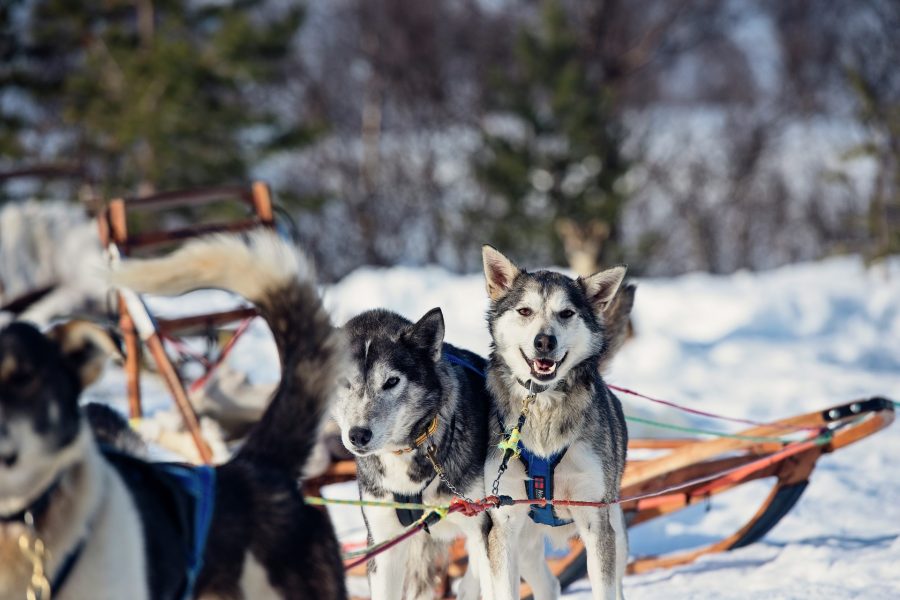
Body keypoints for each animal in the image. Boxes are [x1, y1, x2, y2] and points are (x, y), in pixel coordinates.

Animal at [482, 245, 628, 600]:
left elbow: (604, 586)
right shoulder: (504, 523)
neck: (542, 405)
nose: (544, 341)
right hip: (525, 542)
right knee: (547, 583)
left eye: (566, 313)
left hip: (616, 529)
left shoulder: (595, 519)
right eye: (525, 311)